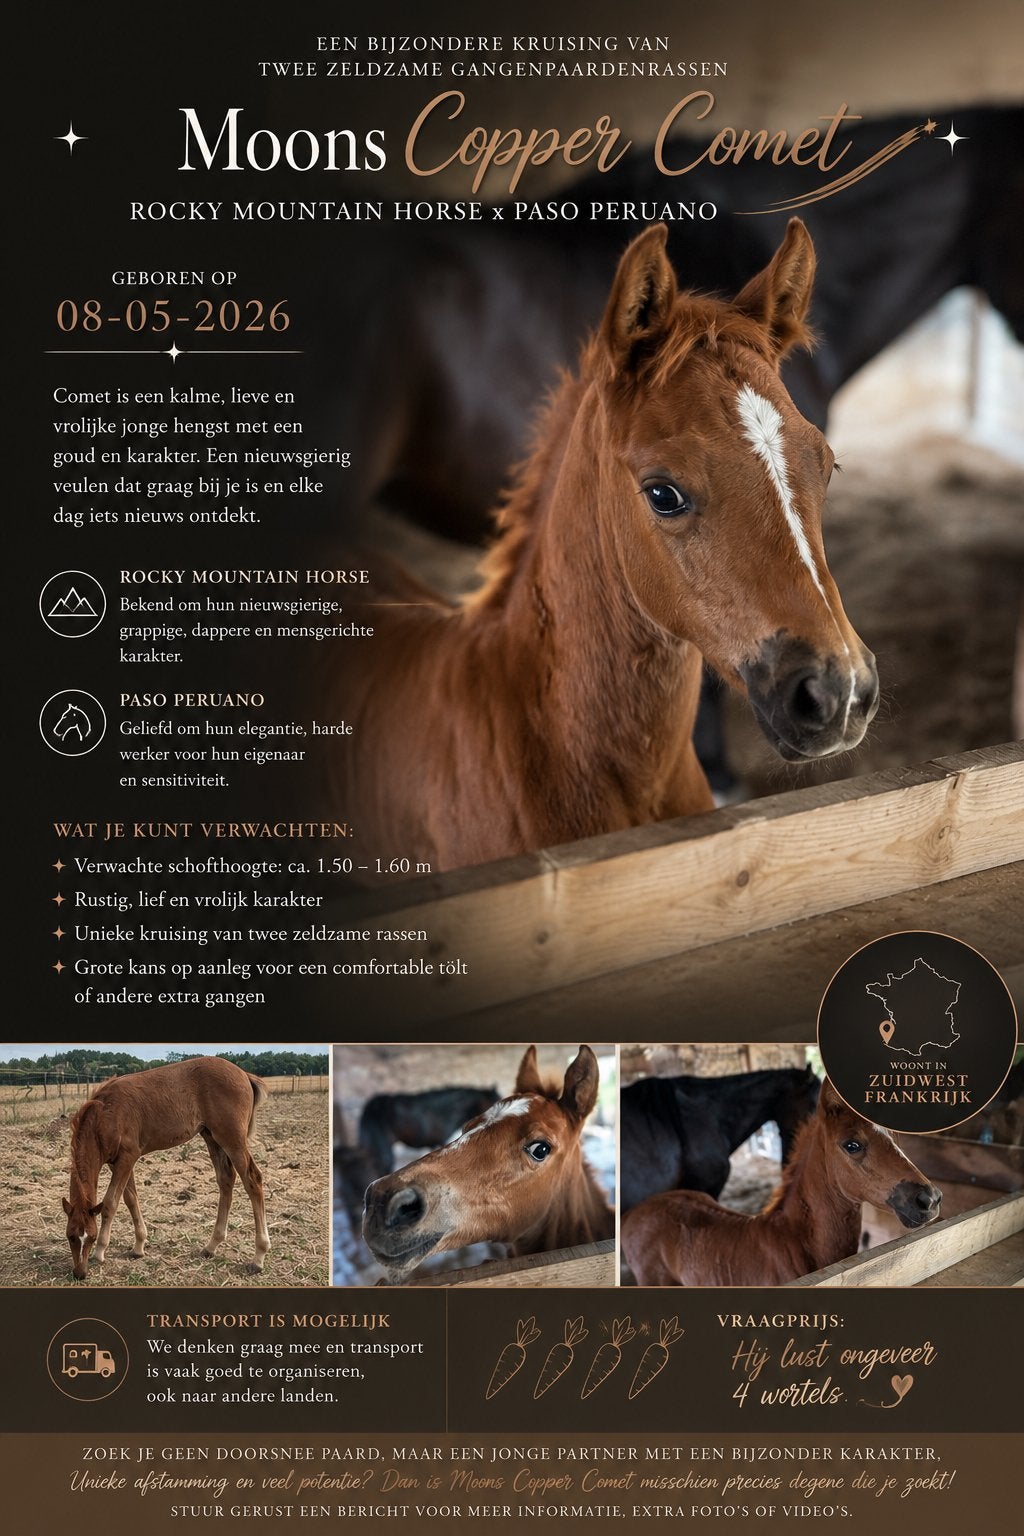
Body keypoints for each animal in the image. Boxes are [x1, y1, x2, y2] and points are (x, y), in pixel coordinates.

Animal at [62, 1057, 270, 1280]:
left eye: (91, 1237)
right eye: (70, 1236)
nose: (79, 1273)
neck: (105, 1114)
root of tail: (244, 1074)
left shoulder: (128, 1157)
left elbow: (110, 1203)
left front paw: (100, 1252)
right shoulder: (118, 1162)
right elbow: (130, 1199)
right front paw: (139, 1246)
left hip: (232, 1140)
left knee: (253, 1180)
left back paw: (258, 1257)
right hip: (211, 1137)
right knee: (226, 1179)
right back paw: (211, 1246)